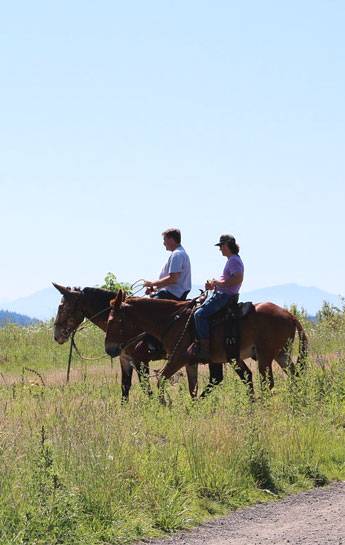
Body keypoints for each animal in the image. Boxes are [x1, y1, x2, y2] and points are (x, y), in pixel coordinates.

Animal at [51, 284, 223, 400]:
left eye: (62, 307)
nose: (57, 335)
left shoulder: (140, 360)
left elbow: (145, 388)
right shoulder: (125, 359)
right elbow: (125, 386)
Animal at [104, 288, 306, 396]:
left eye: (111, 321)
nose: (109, 349)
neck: (173, 319)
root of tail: (290, 316)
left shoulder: (177, 359)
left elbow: (161, 380)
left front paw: (164, 407)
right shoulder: (190, 362)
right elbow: (192, 388)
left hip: (265, 357)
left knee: (267, 383)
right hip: (280, 354)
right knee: (293, 377)